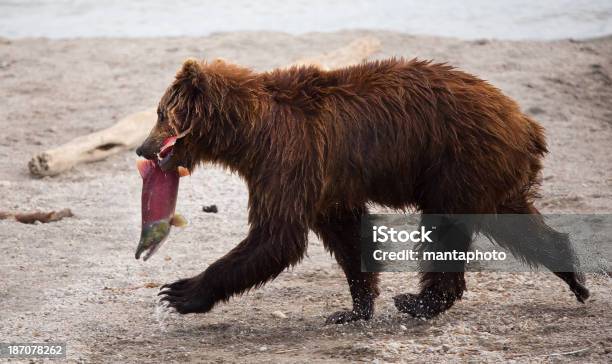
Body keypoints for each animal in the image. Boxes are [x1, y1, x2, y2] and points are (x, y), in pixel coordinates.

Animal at [135, 58, 588, 322]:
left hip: (456, 164)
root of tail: (526, 124)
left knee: (445, 229)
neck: (249, 134)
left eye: (158, 113)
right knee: (517, 221)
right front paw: (354, 307)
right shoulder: (325, 183)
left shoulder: (288, 160)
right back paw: (574, 275)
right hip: (486, 175)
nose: (141, 148)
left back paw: (419, 302)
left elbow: (276, 236)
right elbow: (347, 236)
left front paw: (179, 292)